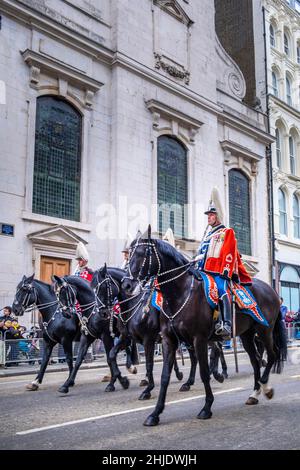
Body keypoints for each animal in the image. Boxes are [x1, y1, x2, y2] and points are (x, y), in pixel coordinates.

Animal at [92, 266, 198, 398]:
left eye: (103, 286)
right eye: (93, 289)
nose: (102, 313)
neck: (133, 307)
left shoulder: (148, 339)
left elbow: (149, 363)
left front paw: (147, 389)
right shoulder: (125, 337)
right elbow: (111, 355)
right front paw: (121, 381)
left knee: (194, 356)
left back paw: (190, 381)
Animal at [122, 228, 288, 426]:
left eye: (141, 253)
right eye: (129, 254)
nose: (126, 284)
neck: (180, 293)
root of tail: (271, 290)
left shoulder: (198, 339)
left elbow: (204, 371)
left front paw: (206, 407)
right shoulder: (169, 340)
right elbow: (164, 376)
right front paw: (155, 413)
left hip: (264, 330)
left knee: (272, 355)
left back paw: (265, 386)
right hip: (247, 334)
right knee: (255, 360)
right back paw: (254, 393)